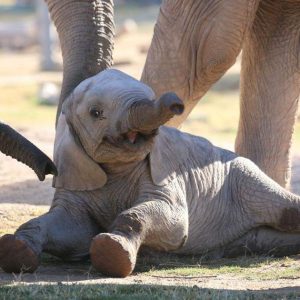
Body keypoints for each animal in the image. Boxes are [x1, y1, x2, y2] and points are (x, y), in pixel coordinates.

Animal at [1, 69, 300, 276]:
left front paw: (112, 254)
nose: (177, 103)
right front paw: (15, 250)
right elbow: (72, 228)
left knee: (284, 209)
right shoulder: (76, 179)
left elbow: (172, 221)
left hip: (246, 178)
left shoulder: (164, 175)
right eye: (96, 113)